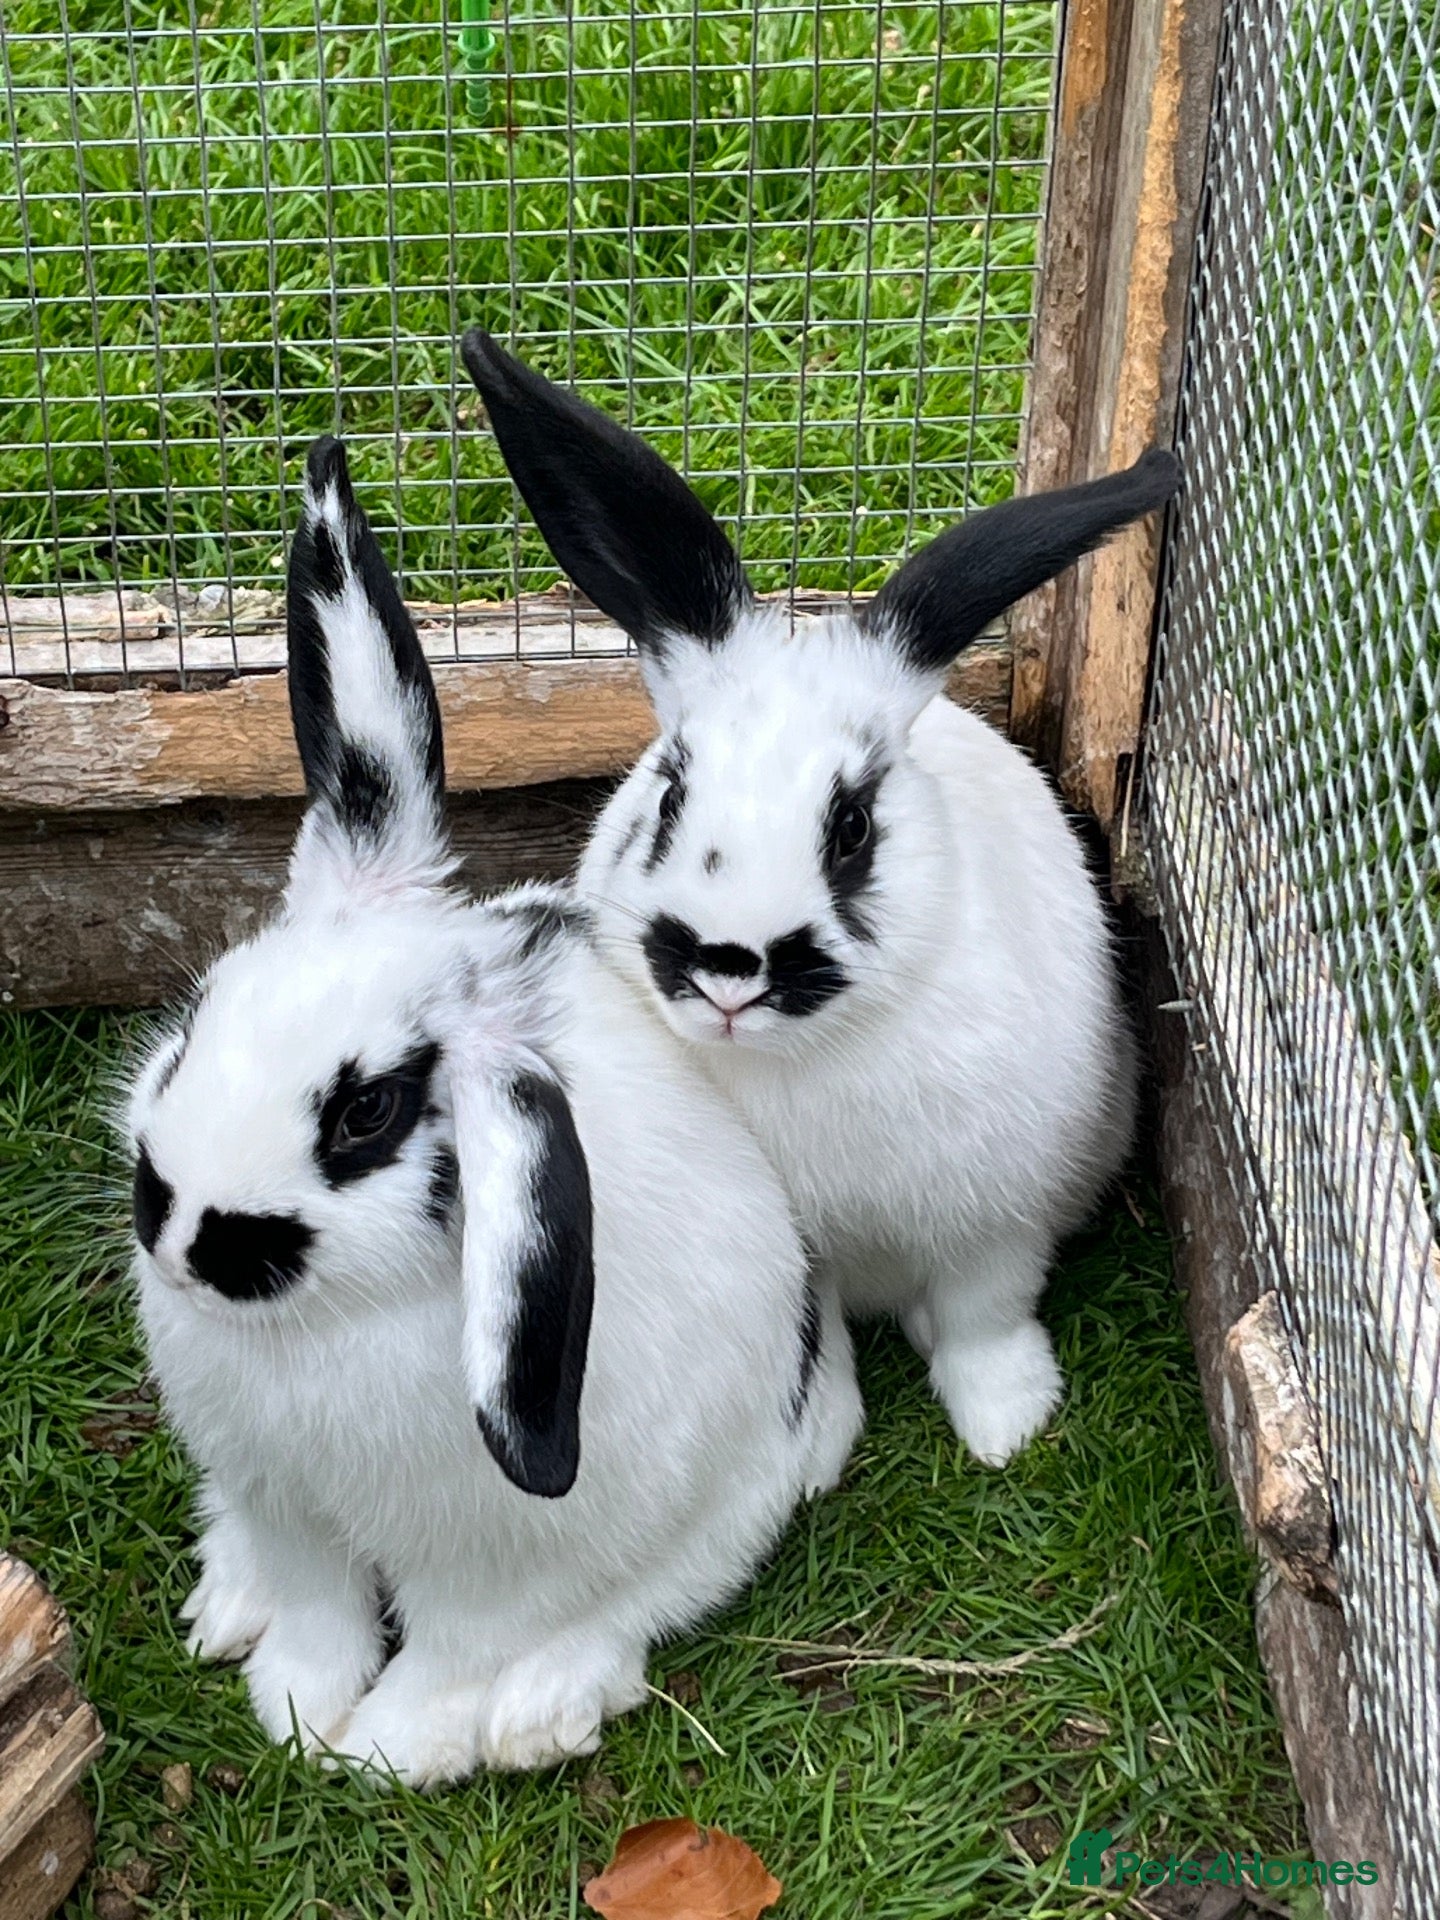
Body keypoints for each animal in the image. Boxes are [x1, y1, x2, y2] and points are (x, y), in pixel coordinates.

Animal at [123, 435, 862, 1788]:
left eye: (366, 1113)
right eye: (198, 1016)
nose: (190, 1231)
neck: (314, 1334)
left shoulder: (493, 1566)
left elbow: (451, 1655)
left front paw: (384, 1752)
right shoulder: (286, 1505)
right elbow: (316, 1611)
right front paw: (295, 1706)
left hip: (727, 1502)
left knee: (647, 1603)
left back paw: (542, 1713)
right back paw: (224, 1605)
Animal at [460, 329, 1179, 1469]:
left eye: (852, 828)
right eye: (669, 797)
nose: (728, 966)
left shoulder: (999, 1221)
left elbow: (985, 1315)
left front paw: (1006, 1424)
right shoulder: (806, 1249)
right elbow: (825, 1336)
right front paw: (824, 1446)